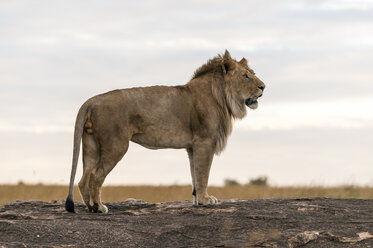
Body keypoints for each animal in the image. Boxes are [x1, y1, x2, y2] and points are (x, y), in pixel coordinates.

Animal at [66, 50, 264, 213]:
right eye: (246, 76)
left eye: (253, 74)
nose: (263, 87)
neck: (222, 96)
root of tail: (92, 100)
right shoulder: (205, 141)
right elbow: (203, 173)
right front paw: (206, 200)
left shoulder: (192, 146)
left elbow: (195, 173)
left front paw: (197, 200)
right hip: (115, 145)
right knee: (95, 176)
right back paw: (99, 207)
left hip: (91, 144)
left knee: (83, 179)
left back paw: (90, 207)